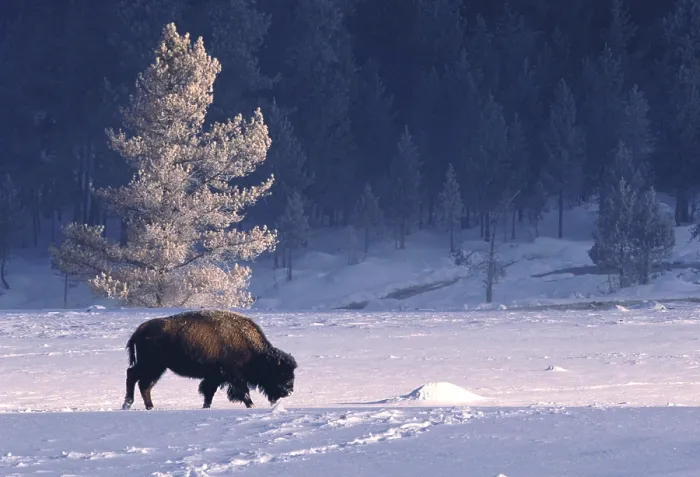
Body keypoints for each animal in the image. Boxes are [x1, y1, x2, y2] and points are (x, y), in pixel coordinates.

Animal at [121, 310, 297, 410]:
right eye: (280, 373)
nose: (288, 390)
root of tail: (139, 331)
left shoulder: (215, 376)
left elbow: (208, 392)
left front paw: (206, 407)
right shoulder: (234, 376)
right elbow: (243, 392)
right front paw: (252, 406)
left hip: (156, 367)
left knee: (143, 383)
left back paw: (147, 406)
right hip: (152, 365)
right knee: (135, 377)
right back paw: (130, 405)